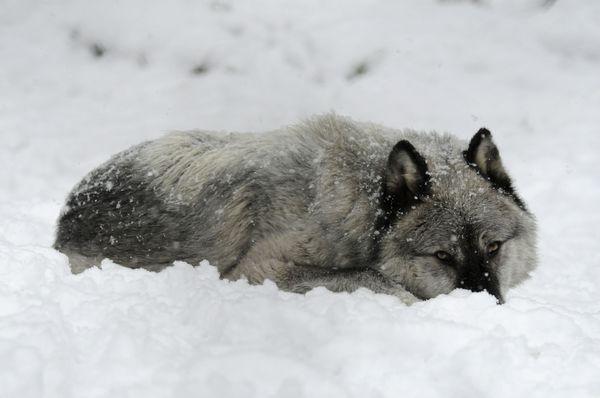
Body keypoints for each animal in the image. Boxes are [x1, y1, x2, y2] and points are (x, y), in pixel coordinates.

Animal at [54, 113, 536, 304]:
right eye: (442, 255)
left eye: (494, 248)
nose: (489, 307)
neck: (360, 206)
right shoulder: (259, 270)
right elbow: (377, 280)